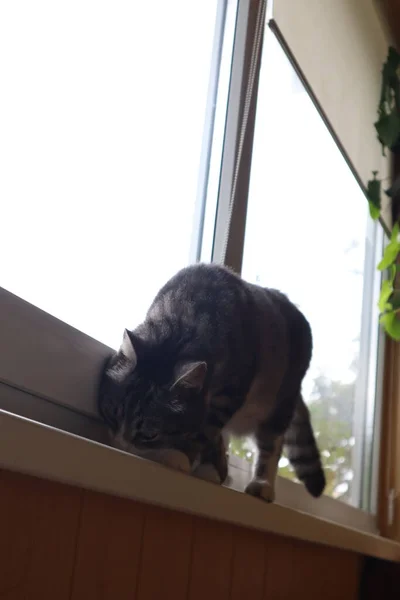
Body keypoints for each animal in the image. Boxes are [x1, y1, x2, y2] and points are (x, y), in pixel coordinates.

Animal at [97, 262, 324, 502]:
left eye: (150, 434)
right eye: (112, 414)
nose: (120, 446)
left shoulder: (229, 395)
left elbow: (205, 431)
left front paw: (183, 458)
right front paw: (211, 467)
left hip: (280, 400)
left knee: (271, 442)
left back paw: (262, 485)